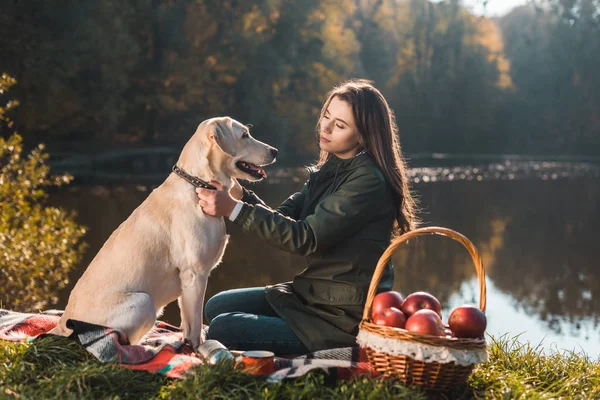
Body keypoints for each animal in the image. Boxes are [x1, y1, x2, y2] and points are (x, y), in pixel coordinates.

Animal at [50, 117, 278, 348]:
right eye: (244, 135)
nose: (275, 151)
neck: (199, 183)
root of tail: (62, 324)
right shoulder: (194, 274)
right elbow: (195, 323)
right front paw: (196, 348)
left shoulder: (187, 281)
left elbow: (186, 321)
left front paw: (185, 344)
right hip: (143, 301)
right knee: (120, 342)